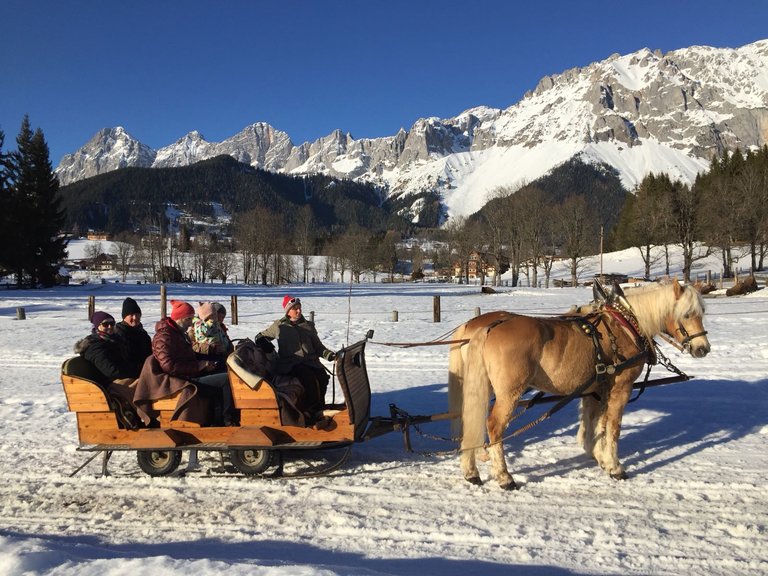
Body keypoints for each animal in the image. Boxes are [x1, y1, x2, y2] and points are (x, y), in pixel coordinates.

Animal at [460, 280, 712, 490]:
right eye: (687, 314)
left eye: (702, 313)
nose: (703, 349)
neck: (625, 326)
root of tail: (488, 327)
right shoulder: (621, 387)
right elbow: (613, 427)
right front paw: (615, 466)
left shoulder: (596, 389)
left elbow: (597, 421)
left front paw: (598, 456)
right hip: (509, 392)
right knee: (494, 426)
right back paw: (504, 477)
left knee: (471, 417)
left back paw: (471, 471)